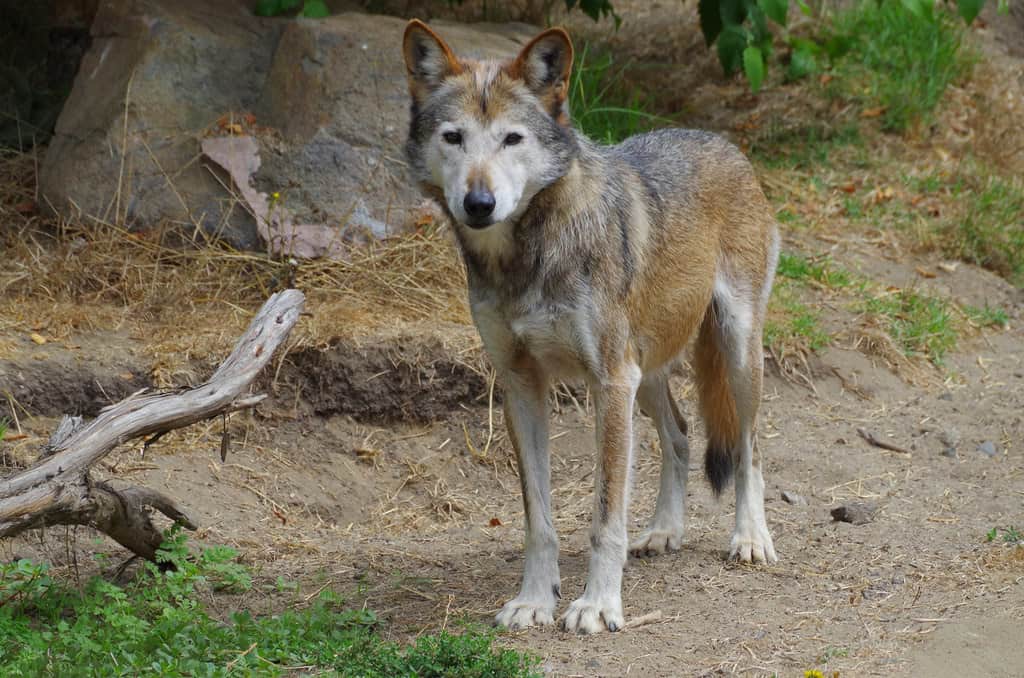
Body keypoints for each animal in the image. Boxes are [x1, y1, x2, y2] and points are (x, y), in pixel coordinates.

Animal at [401, 19, 780, 634]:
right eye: (453, 137)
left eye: (512, 139)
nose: (479, 202)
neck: (528, 255)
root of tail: (722, 141)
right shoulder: (523, 386)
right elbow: (539, 520)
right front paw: (534, 600)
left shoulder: (609, 381)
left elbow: (605, 517)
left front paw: (598, 605)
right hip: (644, 375)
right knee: (680, 433)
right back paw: (664, 531)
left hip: (731, 355)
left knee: (749, 448)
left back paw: (749, 538)